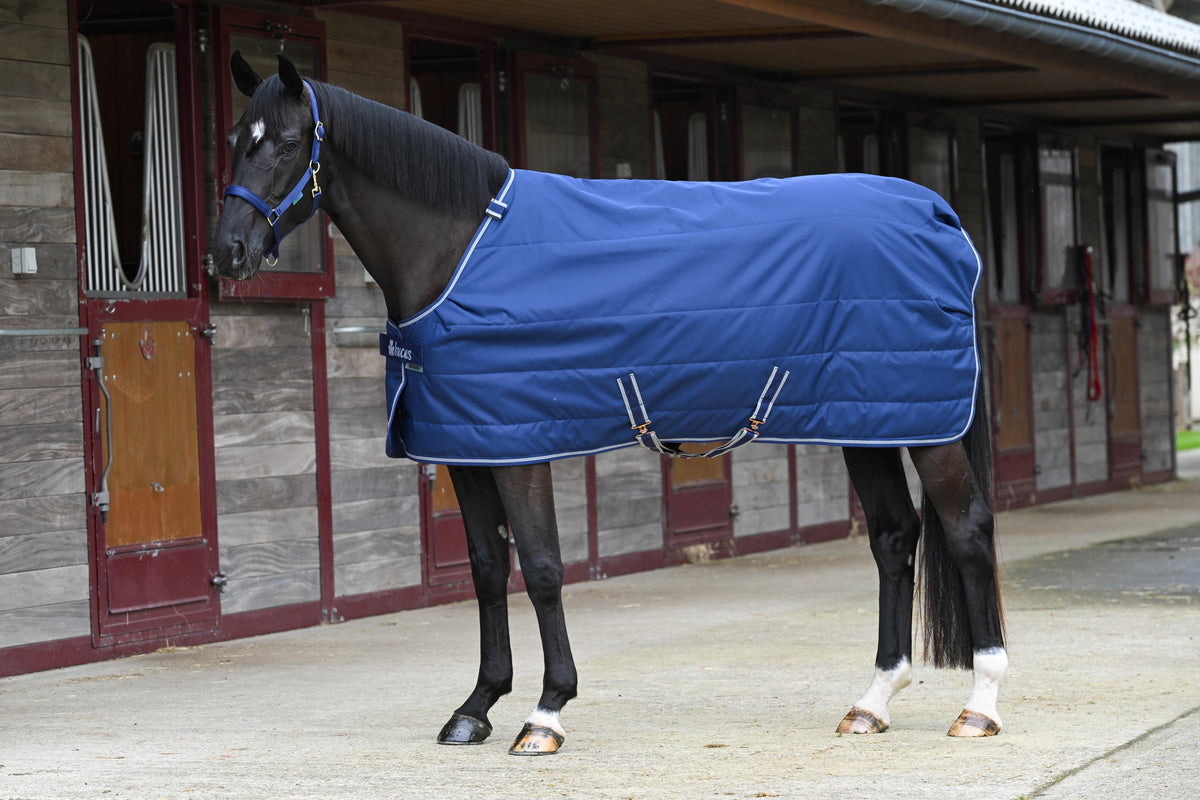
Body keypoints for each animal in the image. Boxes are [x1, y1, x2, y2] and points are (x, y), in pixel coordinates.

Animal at [208, 53, 1007, 755]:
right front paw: (476, 707)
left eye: (286, 145)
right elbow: (487, 569)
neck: (460, 249)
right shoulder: (466, 446)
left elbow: (542, 568)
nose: (228, 253)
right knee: (895, 537)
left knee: (966, 530)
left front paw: (545, 713)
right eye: (235, 140)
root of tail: (937, 212)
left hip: (928, 429)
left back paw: (980, 705)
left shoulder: (519, 447)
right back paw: (872, 703)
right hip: (869, 421)